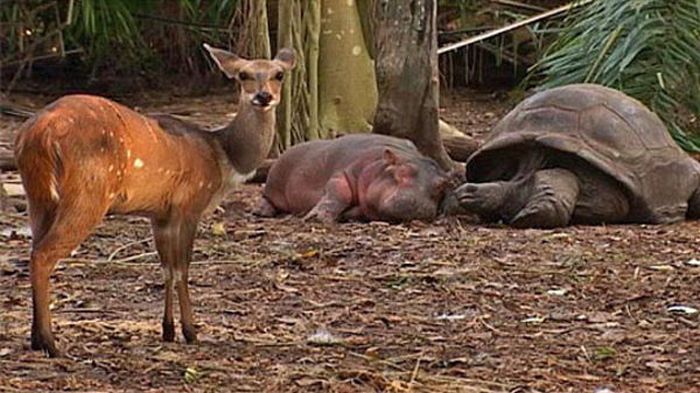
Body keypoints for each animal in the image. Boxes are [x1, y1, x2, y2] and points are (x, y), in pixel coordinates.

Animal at [15, 43, 296, 356]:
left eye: (279, 74)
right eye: (243, 75)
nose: (263, 96)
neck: (222, 158)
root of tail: (38, 132)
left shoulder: (160, 215)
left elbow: (166, 269)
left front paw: (168, 330)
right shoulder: (189, 205)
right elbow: (182, 268)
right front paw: (191, 332)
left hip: (38, 196)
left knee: (33, 249)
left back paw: (35, 339)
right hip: (88, 193)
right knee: (43, 255)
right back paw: (51, 344)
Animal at [256, 133, 448, 222]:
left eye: (440, 185)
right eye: (400, 172)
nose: (415, 204)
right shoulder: (346, 171)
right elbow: (340, 190)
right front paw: (316, 218)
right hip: (275, 181)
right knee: (266, 196)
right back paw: (262, 211)